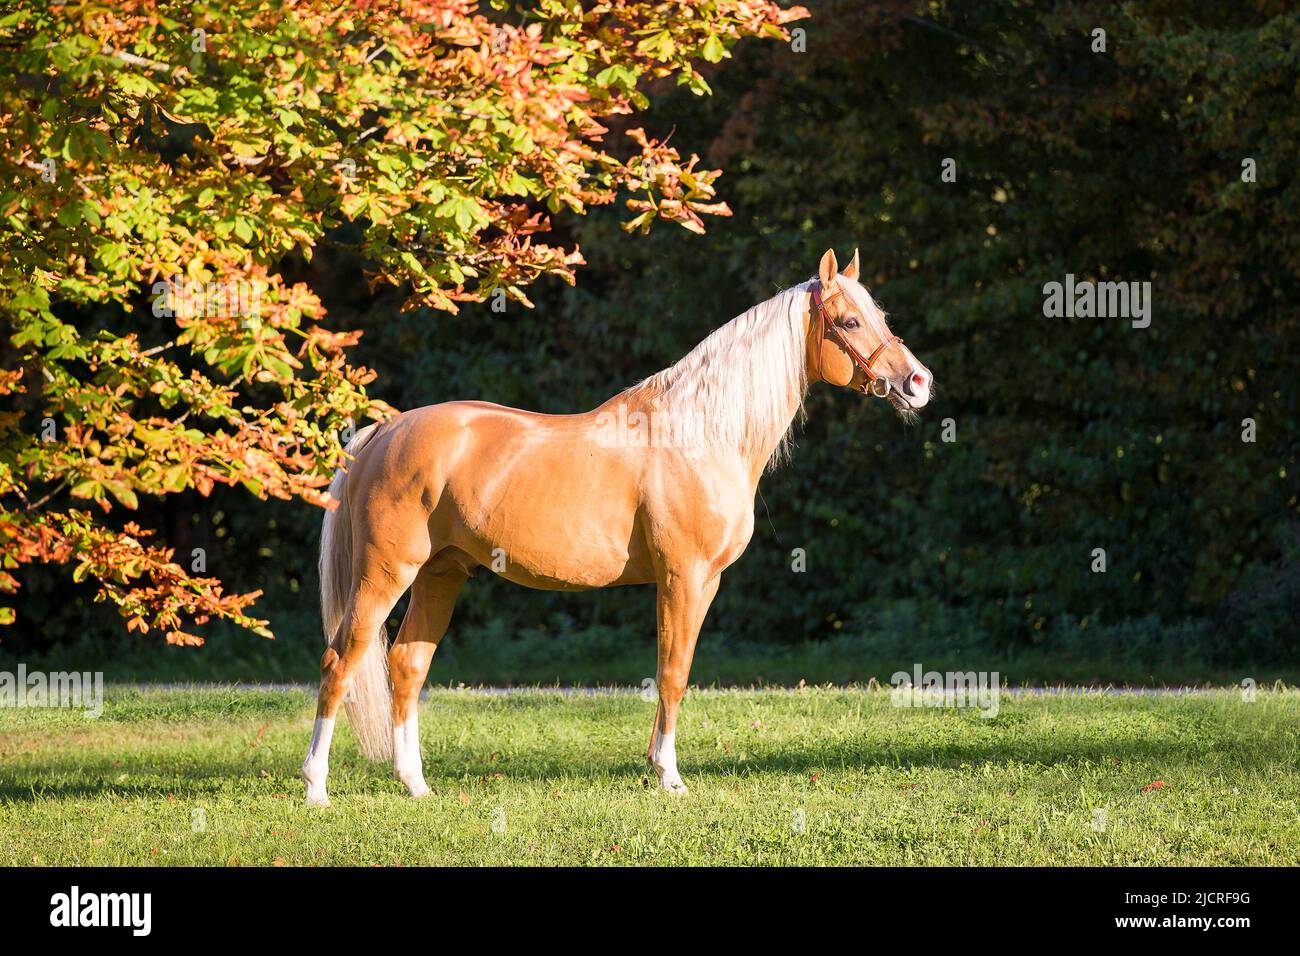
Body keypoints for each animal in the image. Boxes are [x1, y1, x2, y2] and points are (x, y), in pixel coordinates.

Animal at [301, 248, 932, 805]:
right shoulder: (683, 577)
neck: (700, 433)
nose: (919, 383)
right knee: (340, 663)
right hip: (385, 573)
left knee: (406, 667)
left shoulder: (703, 582)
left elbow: (676, 669)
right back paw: (316, 789)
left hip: (440, 574)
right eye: (849, 321)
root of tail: (383, 432)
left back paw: (416, 786)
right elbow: (673, 671)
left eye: (880, 315)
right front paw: (669, 776)